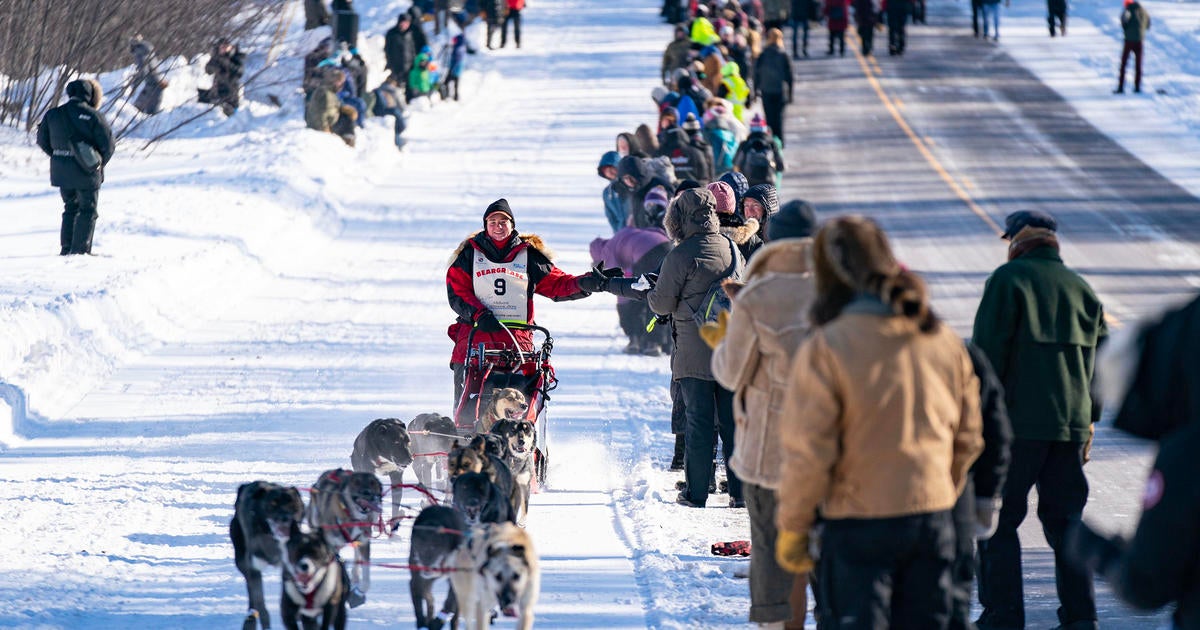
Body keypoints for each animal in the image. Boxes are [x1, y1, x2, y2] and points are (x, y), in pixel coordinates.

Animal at [229, 482, 304, 628]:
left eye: (292, 503)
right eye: (273, 503)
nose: (285, 518)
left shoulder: (289, 567)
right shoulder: (254, 567)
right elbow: (260, 601)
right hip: (241, 561)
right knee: (250, 588)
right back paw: (251, 615)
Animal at [307, 468, 381, 607]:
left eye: (372, 483)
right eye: (356, 482)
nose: (367, 492)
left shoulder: (364, 542)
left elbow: (366, 577)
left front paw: (359, 592)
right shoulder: (331, 545)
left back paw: (355, 576)